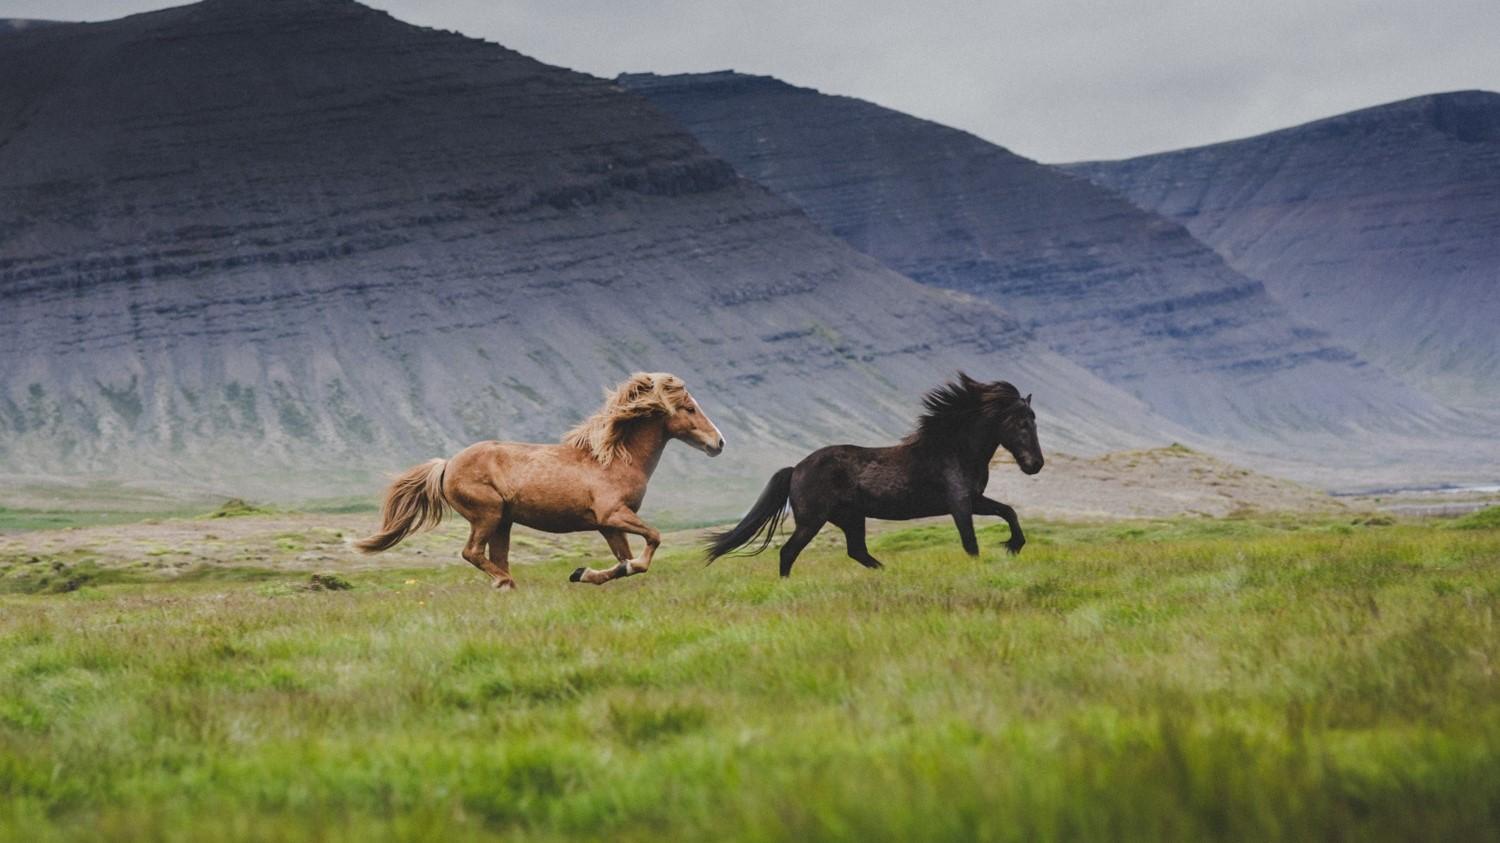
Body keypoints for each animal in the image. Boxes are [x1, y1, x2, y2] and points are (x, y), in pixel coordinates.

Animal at [355, 372, 724, 589]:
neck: (614, 459)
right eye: (689, 408)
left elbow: (626, 559)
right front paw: (588, 572)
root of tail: (446, 465)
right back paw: (505, 583)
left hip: (503, 522)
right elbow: (652, 542)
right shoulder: (613, 515)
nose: (718, 443)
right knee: (472, 552)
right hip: (487, 514)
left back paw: (507, 586)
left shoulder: (608, 525)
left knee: (495, 556)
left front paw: (586, 574)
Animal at [705, 373, 1042, 577]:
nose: (1035, 464)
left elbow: (1008, 512)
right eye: (1022, 423)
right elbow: (970, 541)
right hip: (813, 520)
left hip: (851, 517)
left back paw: (888, 572)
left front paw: (1013, 546)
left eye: (1034, 421)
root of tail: (796, 468)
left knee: (857, 551)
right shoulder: (959, 503)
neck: (954, 448)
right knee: (789, 553)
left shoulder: (975, 499)